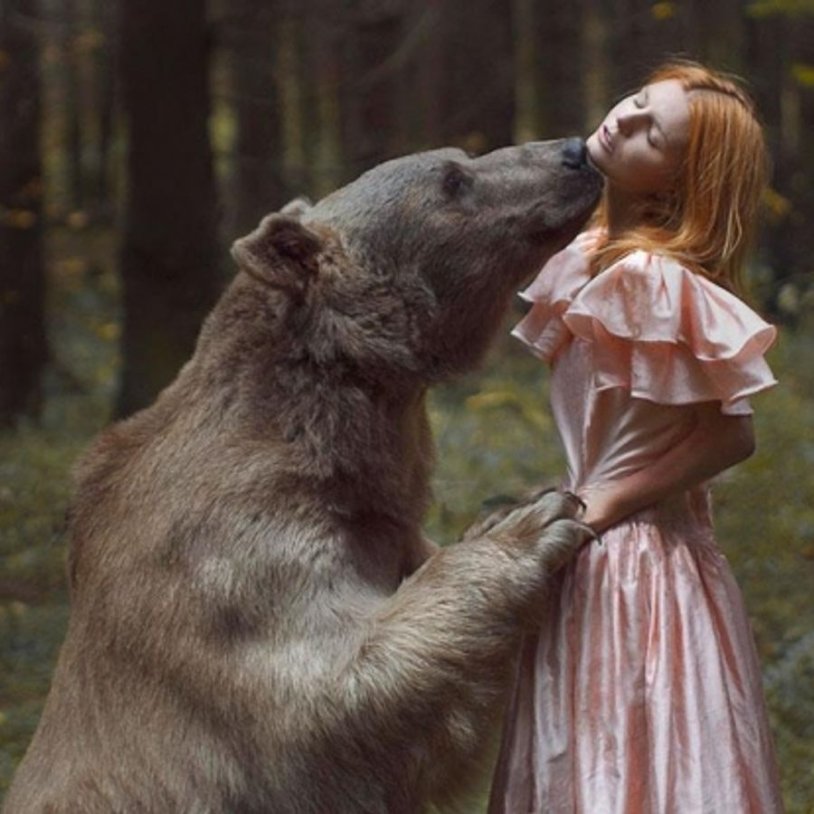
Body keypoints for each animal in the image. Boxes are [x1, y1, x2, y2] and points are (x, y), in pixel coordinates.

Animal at [3, 138, 602, 814]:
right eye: (451, 179)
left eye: (459, 158)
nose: (574, 152)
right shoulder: (228, 560)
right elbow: (328, 698)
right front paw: (534, 520)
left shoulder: (379, 523)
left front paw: (502, 512)